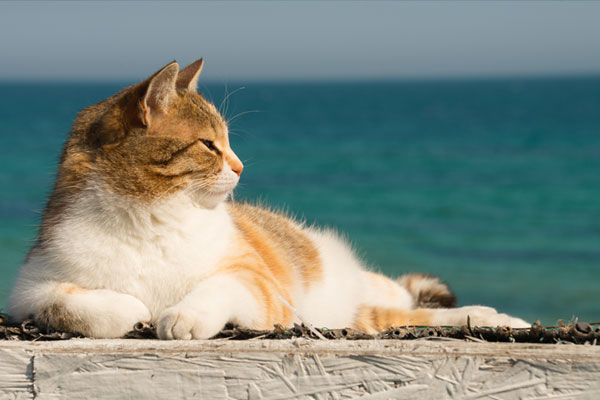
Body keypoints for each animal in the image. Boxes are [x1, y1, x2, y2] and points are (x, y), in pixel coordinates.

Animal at [7, 61, 528, 340]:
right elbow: (71, 304)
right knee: (398, 316)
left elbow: (218, 286)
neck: (151, 217)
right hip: (353, 314)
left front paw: (182, 315)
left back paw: (496, 317)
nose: (240, 167)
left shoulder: (259, 285)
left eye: (227, 141)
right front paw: (132, 308)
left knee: (413, 303)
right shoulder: (29, 290)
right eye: (209, 145)